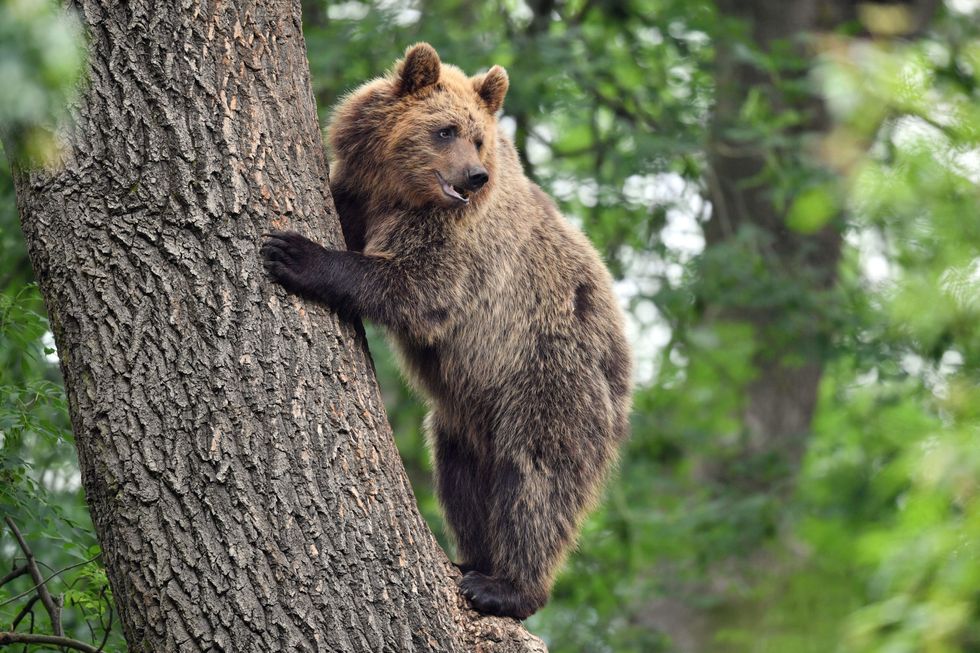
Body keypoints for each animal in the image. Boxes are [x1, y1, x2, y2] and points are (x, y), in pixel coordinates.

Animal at [260, 43, 632, 620]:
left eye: (476, 137)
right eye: (445, 130)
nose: (474, 176)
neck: (395, 190)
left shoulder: (460, 243)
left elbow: (419, 289)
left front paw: (296, 253)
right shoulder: (360, 196)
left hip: (550, 376)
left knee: (538, 476)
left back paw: (507, 587)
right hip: (468, 412)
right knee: (461, 477)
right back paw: (471, 559)